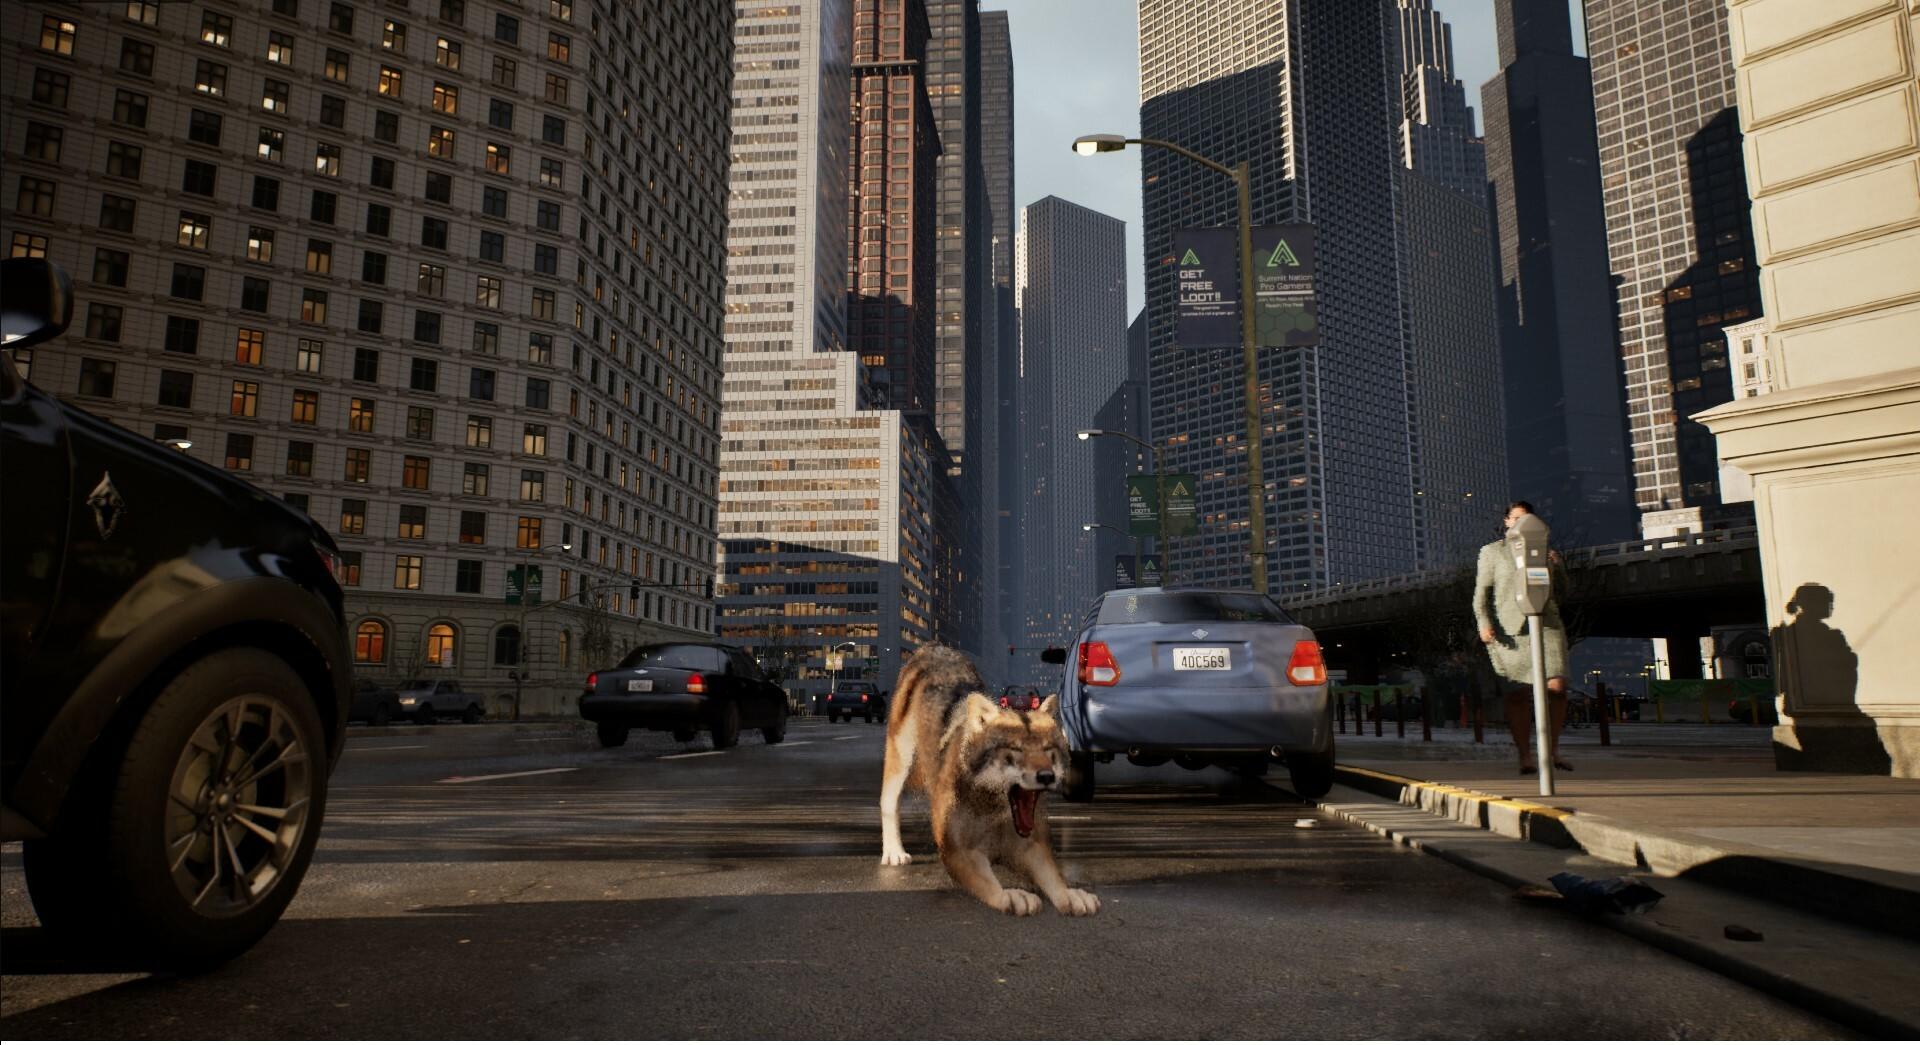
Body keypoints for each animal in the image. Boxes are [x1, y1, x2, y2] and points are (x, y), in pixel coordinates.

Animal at [878, 645, 1100, 917]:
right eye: (1016, 750)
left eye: (1048, 750)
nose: (1046, 776)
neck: (993, 806)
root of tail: (933, 647)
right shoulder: (957, 852)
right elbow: (989, 883)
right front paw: (1010, 895)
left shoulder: (1031, 845)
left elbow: (1053, 877)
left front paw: (1069, 895)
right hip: (901, 759)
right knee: (888, 802)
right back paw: (894, 852)